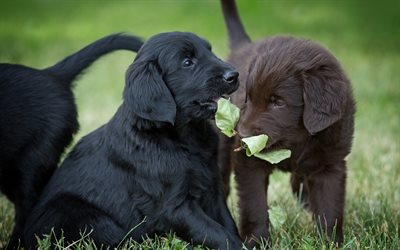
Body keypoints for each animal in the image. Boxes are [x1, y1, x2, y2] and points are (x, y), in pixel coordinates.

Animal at [23, 32, 242, 250]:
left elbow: (228, 225)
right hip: (76, 212)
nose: (234, 75)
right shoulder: (172, 205)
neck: (183, 137)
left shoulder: (212, 188)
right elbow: (218, 234)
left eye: (210, 51)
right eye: (187, 62)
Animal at [219, 0, 356, 247]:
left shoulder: (330, 162)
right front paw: (256, 242)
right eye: (249, 98)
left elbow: (330, 209)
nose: (241, 134)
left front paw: (331, 242)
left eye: (278, 102)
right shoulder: (249, 163)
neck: (297, 141)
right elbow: (254, 206)